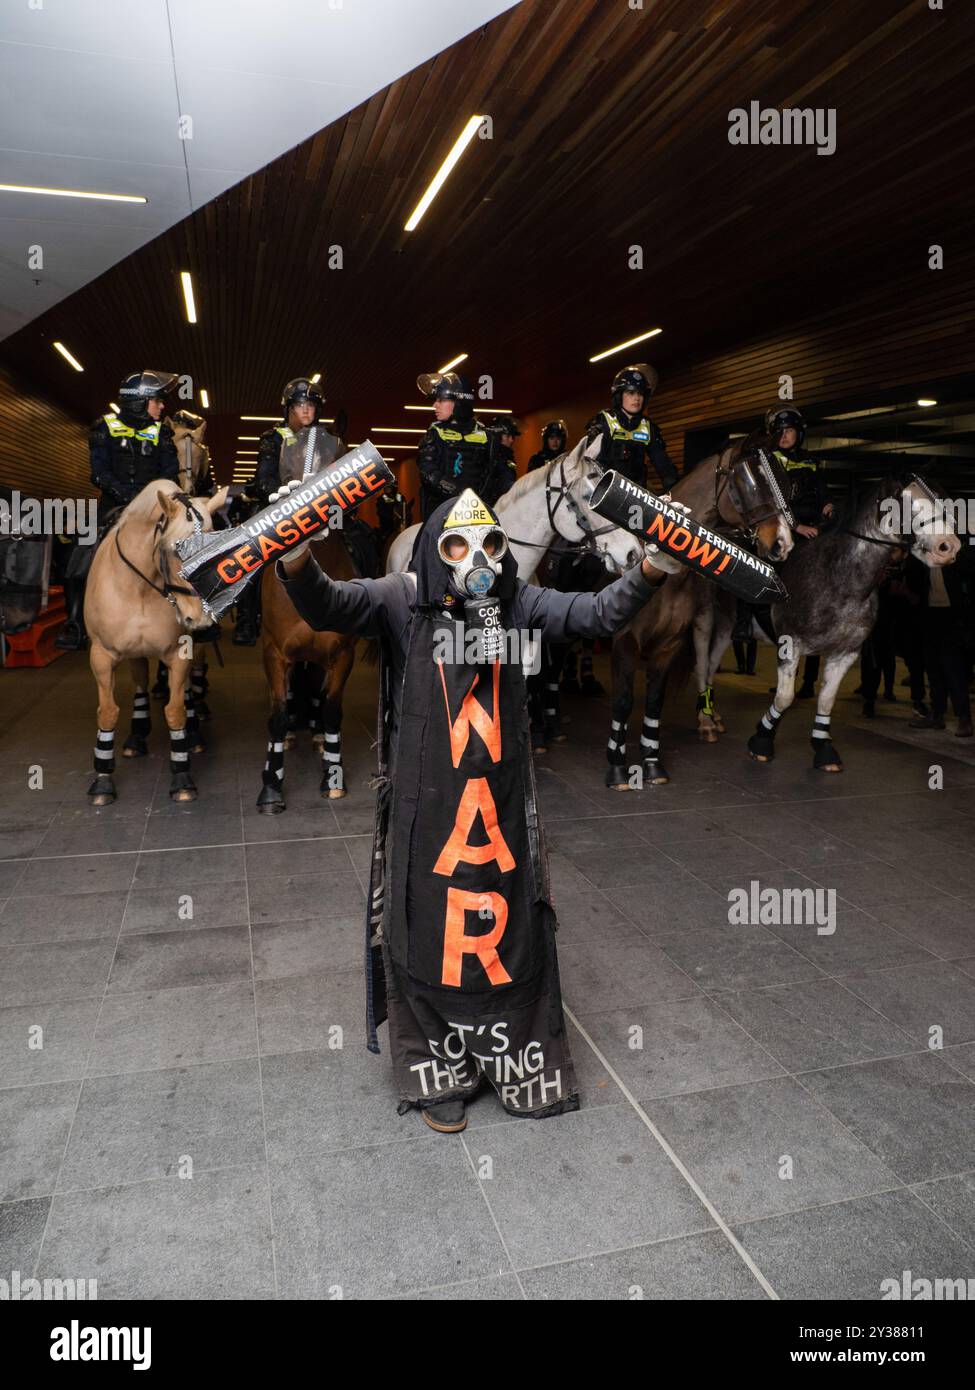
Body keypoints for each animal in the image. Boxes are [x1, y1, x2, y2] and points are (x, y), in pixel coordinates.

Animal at [83, 478, 226, 806]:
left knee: (187, 690)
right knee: (140, 680)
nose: (200, 619)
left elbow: (175, 710)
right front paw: (102, 779)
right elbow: (107, 711)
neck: (139, 586)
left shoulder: (179, 652)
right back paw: (136, 735)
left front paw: (182, 775)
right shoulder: (101, 655)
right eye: (175, 549)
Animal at [603, 444, 795, 795]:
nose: (783, 543)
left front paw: (652, 762)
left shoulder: (669, 645)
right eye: (749, 484)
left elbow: (654, 701)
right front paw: (618, 767)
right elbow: (623, 702)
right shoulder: (624, 642)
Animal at [723, 472, 956, 767]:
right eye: (904, 503)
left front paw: (823, 749)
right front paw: (762, 741)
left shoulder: (846, 653)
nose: (948, 547)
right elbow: (785, 697)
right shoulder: (790, 645)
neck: (839, 578)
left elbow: (826, 700)